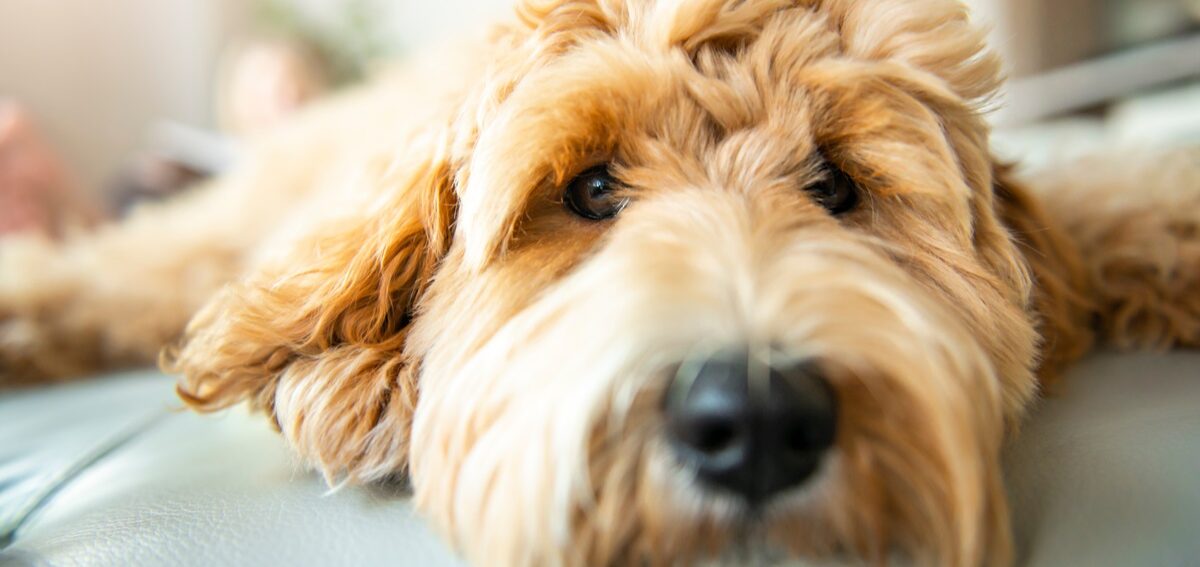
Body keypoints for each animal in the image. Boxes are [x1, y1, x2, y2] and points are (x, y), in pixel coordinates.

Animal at [2, 0, 1200, 564]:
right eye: (588, 190)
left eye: (836, 185)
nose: (755, 420)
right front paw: (357, 388)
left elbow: (1123, 197)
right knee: (121, 276)